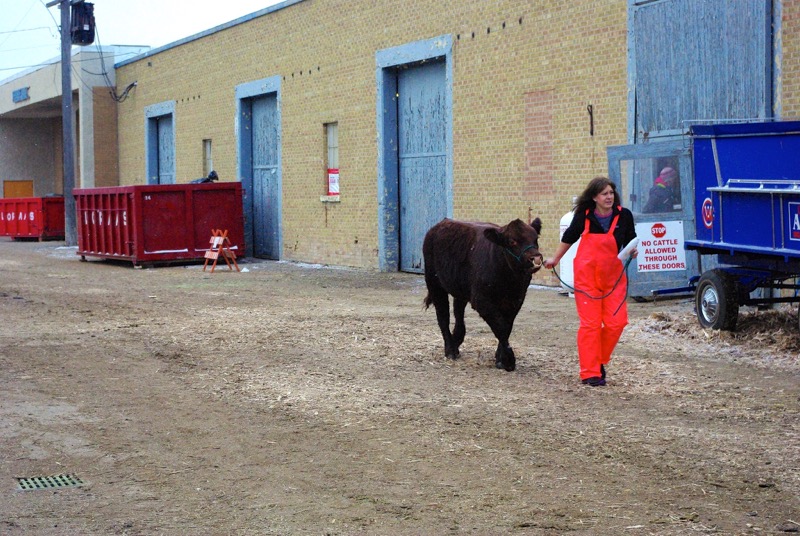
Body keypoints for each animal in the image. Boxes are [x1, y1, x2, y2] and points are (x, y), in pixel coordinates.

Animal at [422, 217, 543, 372]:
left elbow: (507, 326)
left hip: (460, 287)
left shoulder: (516, 299)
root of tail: (438, 226)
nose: (536, 259)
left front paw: (500, 358)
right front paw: (508, 360)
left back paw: (456, 341)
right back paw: (450, 350)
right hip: (434, 282)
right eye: (512, 241)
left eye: (535, 239)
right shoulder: (481, 300)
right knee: (443, 315)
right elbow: (500, 327)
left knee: (458, 311)